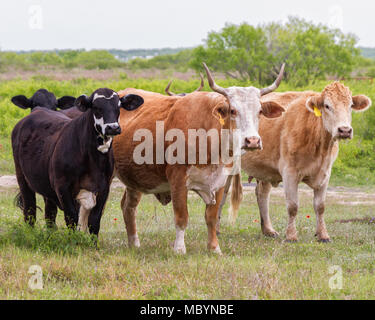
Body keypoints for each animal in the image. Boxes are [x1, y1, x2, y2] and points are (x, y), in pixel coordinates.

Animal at [11, 89, 144, 236]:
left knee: (49, 213)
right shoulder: (62, 186)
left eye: (118, 106)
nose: (113, 128)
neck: (93, 159)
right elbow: (71, 218)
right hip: (23, 178)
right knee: (30, 211)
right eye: (96, 107)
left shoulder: (104, 187)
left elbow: (94, 220)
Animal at [113, 62, 286, 254]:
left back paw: (134, 243)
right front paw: (179, 249)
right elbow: (182, 217)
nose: (253, 141)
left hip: (134, 180)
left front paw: (214, 248)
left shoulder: (220, 182)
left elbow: (211, 217)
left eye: (260, 111)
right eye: (233, 110)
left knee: (128, 207)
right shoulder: (178, 180)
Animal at [226, 82, 374, 242]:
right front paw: (291, 236)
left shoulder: (325, 173)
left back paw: (268, 230)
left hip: (264, 169)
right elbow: (293, 206)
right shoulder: (289, 172)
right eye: (327, 106)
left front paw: (323, 235)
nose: (345, 130)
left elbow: (320, 206)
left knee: (262, 193)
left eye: (350, 105)